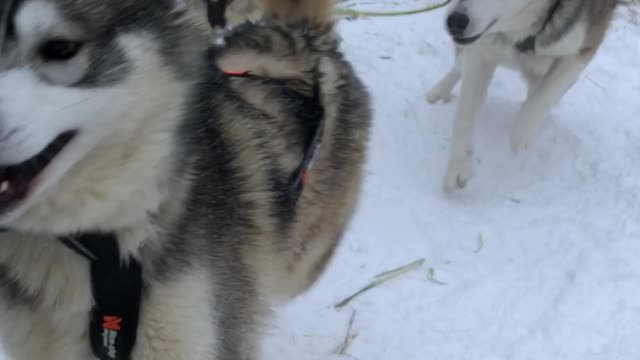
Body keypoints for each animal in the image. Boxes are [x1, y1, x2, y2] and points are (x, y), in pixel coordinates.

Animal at [428, 0, 616, 193]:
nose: (455, 21)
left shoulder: (582, 49)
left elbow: (543, 95)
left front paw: (522, 133)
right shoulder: (481, 51)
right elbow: (464, 116)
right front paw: (458, 166)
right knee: (459, 65)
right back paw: (438, 91)